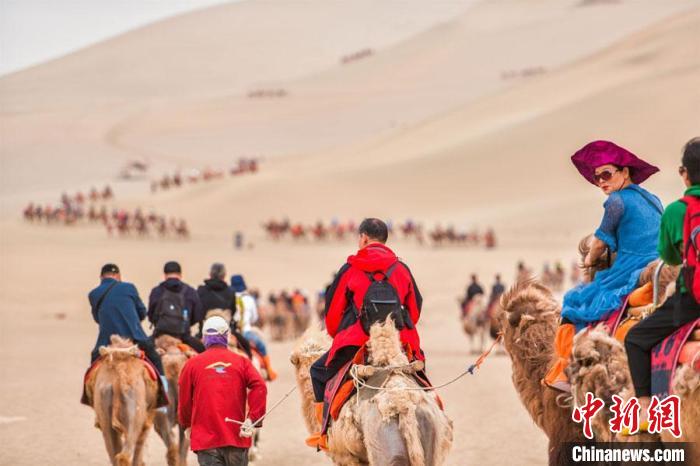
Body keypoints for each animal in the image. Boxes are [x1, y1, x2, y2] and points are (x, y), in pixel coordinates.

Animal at [84, 334, 158, 466]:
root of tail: (117, 378)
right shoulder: (147, 420)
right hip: (135, 415)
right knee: (125, 455)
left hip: (104, 409)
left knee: (114, 451)